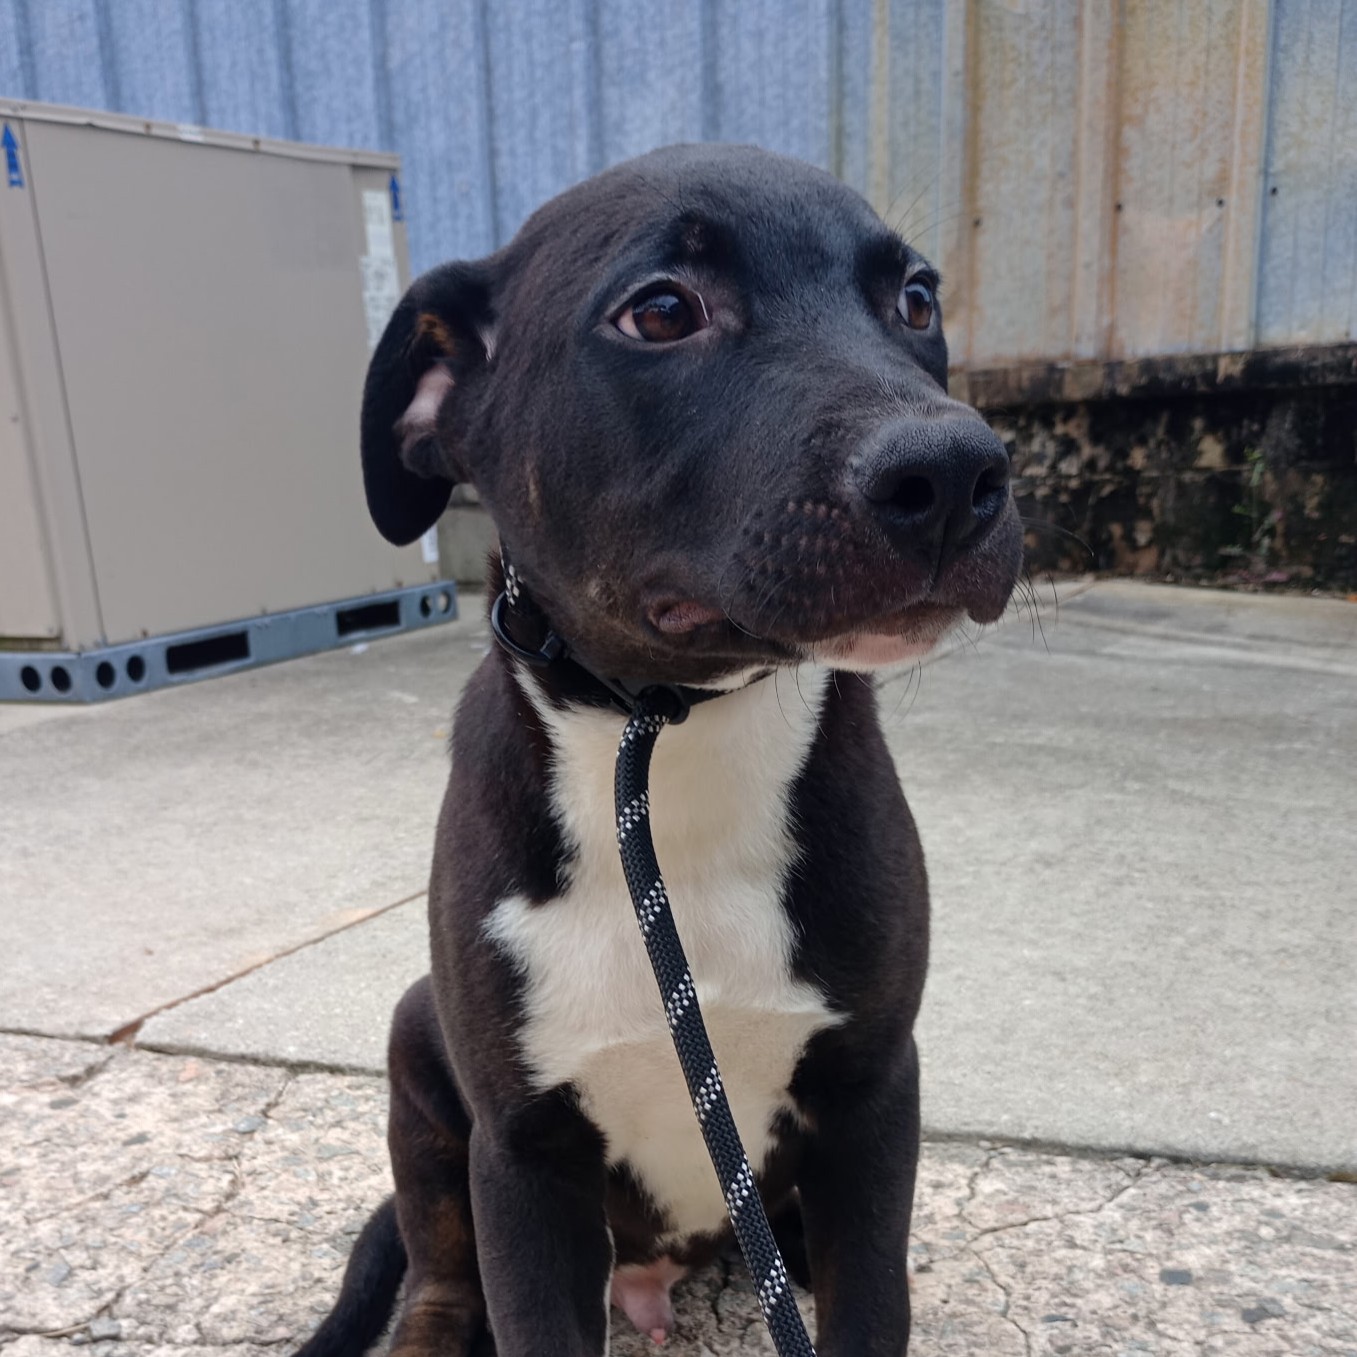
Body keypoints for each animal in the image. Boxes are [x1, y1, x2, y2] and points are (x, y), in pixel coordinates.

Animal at [300, 143, 1021, 1357]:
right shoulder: (524, 1155)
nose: (957, 471)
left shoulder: (873, 1096)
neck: (676, 743)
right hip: (418, 1051)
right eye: (662, 310)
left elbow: (872, 1299)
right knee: (439, 1273)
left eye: (916, 301)